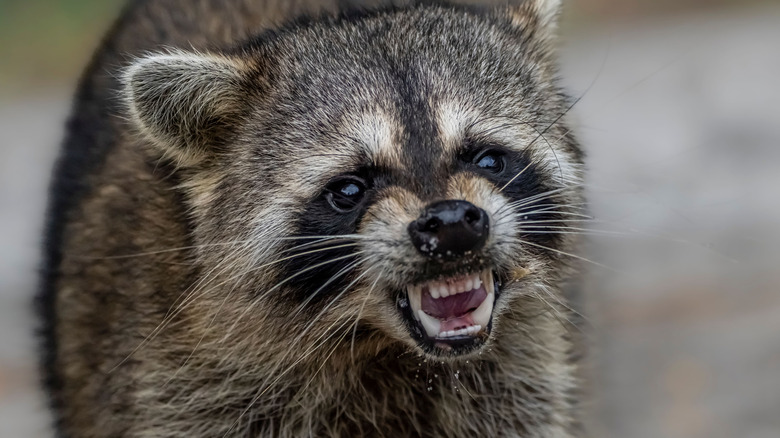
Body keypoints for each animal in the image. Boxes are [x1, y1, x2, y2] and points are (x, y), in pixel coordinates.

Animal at [39, 0, 586, 436]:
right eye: (349, 189)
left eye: (488, 160)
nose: (451, 222)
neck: (381, 347)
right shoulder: (177, 384)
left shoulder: (515, 382)